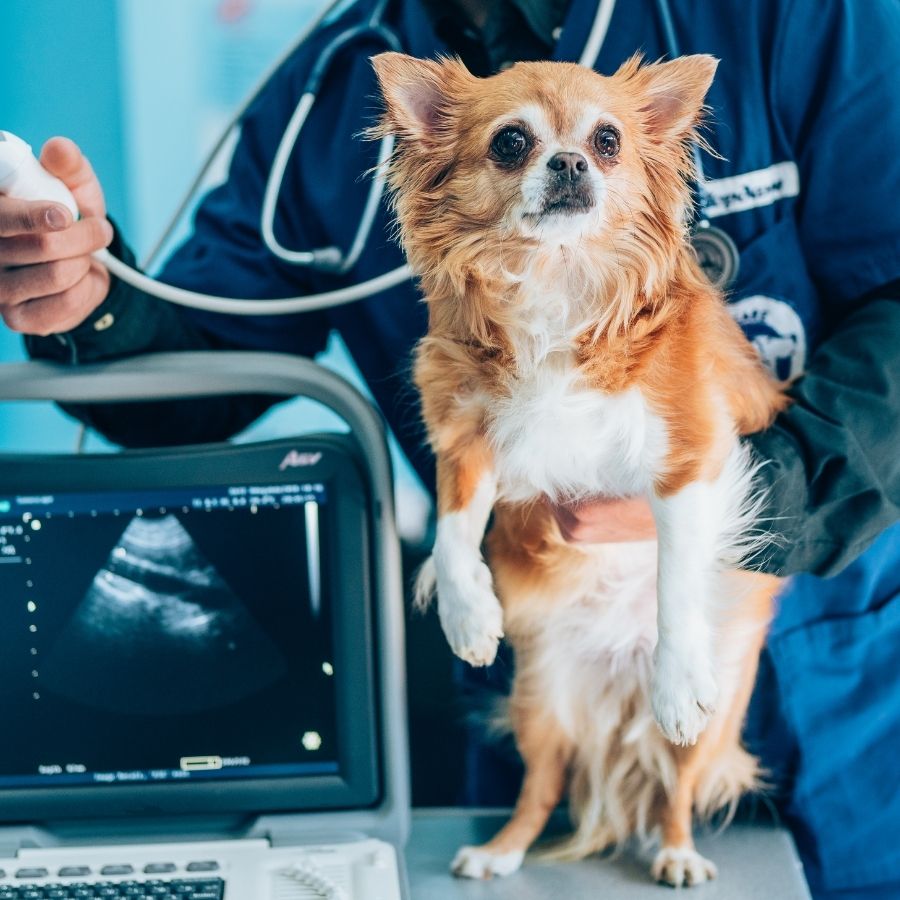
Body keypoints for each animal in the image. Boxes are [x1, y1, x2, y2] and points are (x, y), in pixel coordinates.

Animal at [372, 51, 788, 884]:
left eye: (607, 141)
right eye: (511, 142)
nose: (569, 161)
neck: (558, 278)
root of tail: (615, 686)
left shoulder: (686, 459)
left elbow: (675, 581)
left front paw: (676, 675)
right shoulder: (466, 440)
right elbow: (452, 534)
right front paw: (469, 616)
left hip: (710, 727)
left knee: (675, 791)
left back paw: (677, 850)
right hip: (540, 702)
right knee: (540, 789)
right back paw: (498, 852)